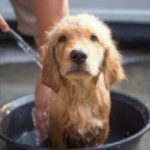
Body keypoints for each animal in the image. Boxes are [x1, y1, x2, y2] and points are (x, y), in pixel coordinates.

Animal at [40, 14, 125, 149]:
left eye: (94, 38)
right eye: (62, 38)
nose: (78, 55)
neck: (81, 93)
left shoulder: (102, 130)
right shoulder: (57, 130)